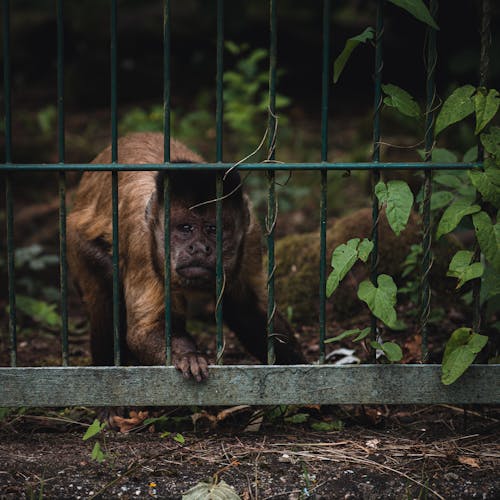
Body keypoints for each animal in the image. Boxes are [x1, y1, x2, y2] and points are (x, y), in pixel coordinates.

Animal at [67, 133, 304, 378]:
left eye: (213, 229)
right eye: (185, 228)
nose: (198, 248)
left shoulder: (250, 236)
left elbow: (248, 308)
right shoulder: (142, 242)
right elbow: (145, 330)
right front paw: (189, 356)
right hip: (76, 242)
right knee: (106, 285)